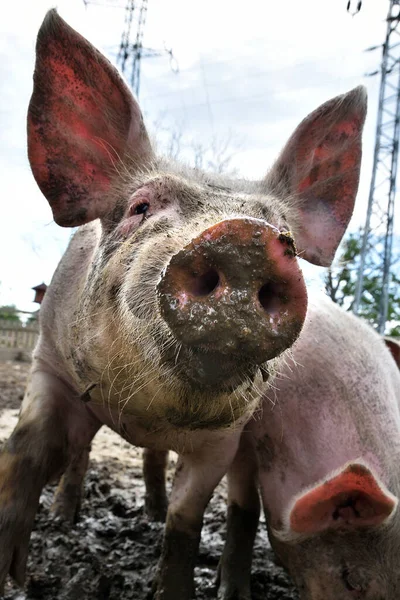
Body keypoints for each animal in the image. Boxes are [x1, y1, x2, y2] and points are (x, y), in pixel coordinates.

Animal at [0, 9, 368, 600]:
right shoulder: (49, 364)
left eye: (286, 236)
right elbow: (26, 450)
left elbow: (187, 518)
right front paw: (12, 575)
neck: (147, 414)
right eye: (140, 207)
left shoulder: (224, 440)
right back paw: (65, 517)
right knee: (81, 457)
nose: (246, 236)